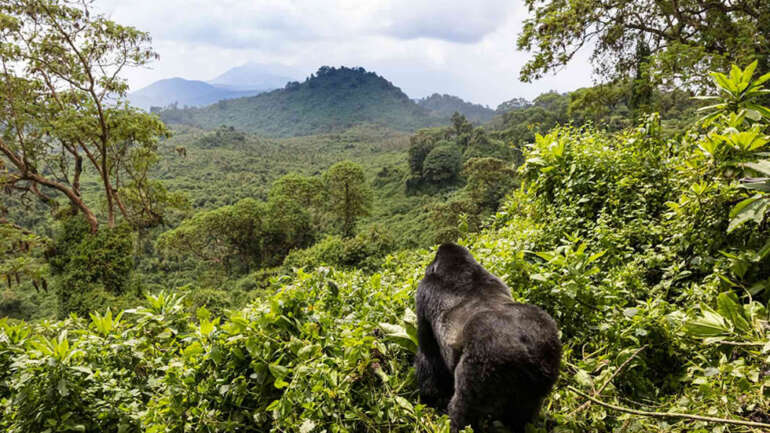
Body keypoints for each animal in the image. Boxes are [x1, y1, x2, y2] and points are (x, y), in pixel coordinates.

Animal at [414, 243, 560, 432]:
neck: (459, 268)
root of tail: (526, 349)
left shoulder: (423, 291)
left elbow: (428, 354)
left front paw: (431, 397)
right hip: (548, 354)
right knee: (524, 412)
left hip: (483, 363)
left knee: (464, 409)